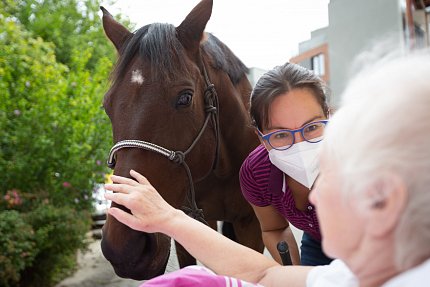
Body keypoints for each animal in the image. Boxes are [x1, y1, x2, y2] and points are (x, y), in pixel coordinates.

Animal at [99, 0, 264, 282]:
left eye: (185, 98)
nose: (124, 248)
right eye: (107, 106)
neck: (222, 168)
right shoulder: (186, 223)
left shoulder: (250, 225)